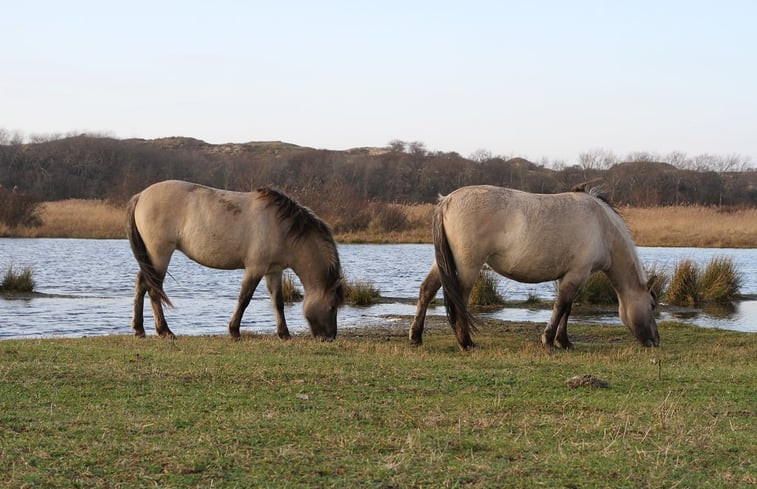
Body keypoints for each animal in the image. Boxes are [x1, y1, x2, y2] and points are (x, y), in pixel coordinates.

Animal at [127, 179, 346, 340]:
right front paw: (234, 331)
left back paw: (139, 329)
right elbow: (244, 298)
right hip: (160, 254)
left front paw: (284, 334)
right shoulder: (255, 268)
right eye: (332, 306)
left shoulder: (273, 270)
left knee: (141, 284)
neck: (282, 227)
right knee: (153, 289)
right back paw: (164, 331)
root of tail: (141, 195)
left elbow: (278, 301)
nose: (329, 337)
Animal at [410, 185, 660, 348]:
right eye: (652, 305)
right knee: (459, 300)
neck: (602, 226)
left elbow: (567, 308)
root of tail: (447, 201)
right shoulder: (578, 274)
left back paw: (416, 337)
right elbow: (561, 306)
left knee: (427, 290)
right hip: (468, 266)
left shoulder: (569, 275)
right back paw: (466, 342)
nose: (655, 341)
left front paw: (564, 341)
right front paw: (549, 340)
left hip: (443, 262)